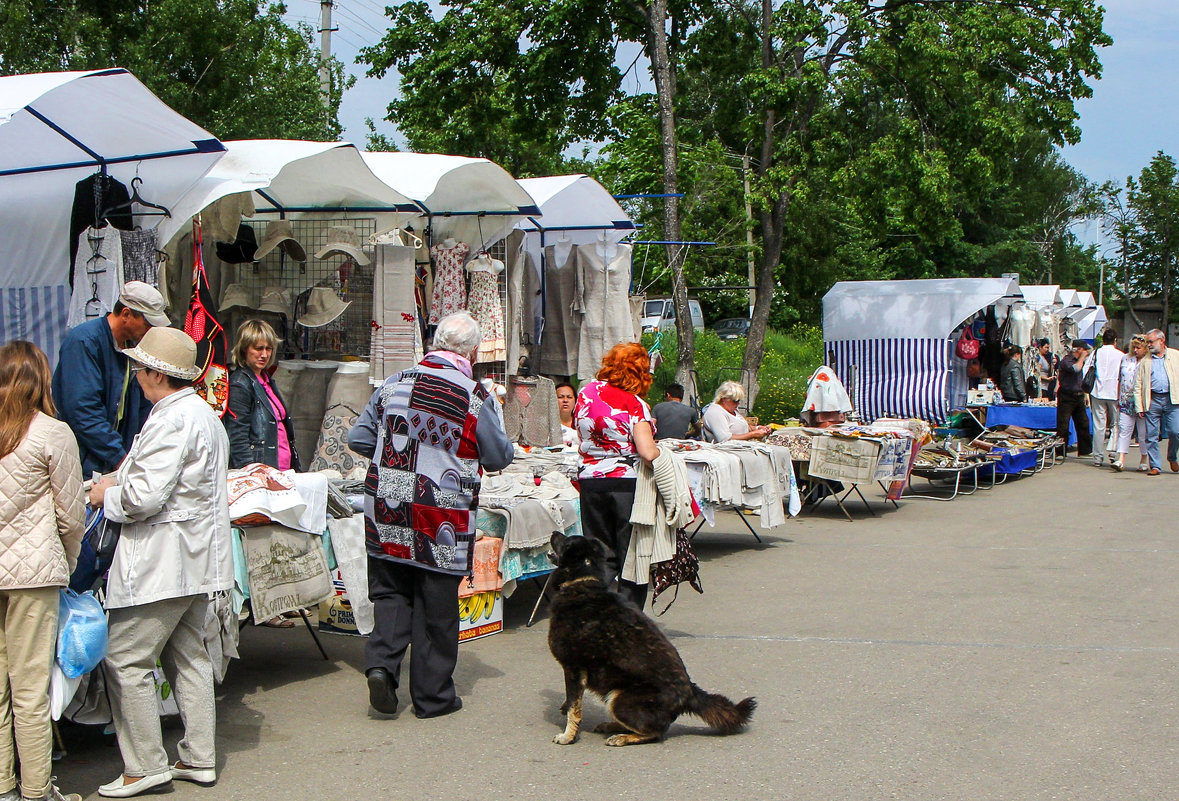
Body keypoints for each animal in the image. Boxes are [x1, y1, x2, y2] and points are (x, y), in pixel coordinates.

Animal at [544, 533, 754, 745]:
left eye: (566, 542)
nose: (553, 532)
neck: (580, 582)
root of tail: (690, 692)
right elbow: (572, 703)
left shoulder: (573, 668)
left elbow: (574, 709)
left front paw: (568, 736)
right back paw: (612, 726)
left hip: (618, 699)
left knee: (655, 732)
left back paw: (622, 737)